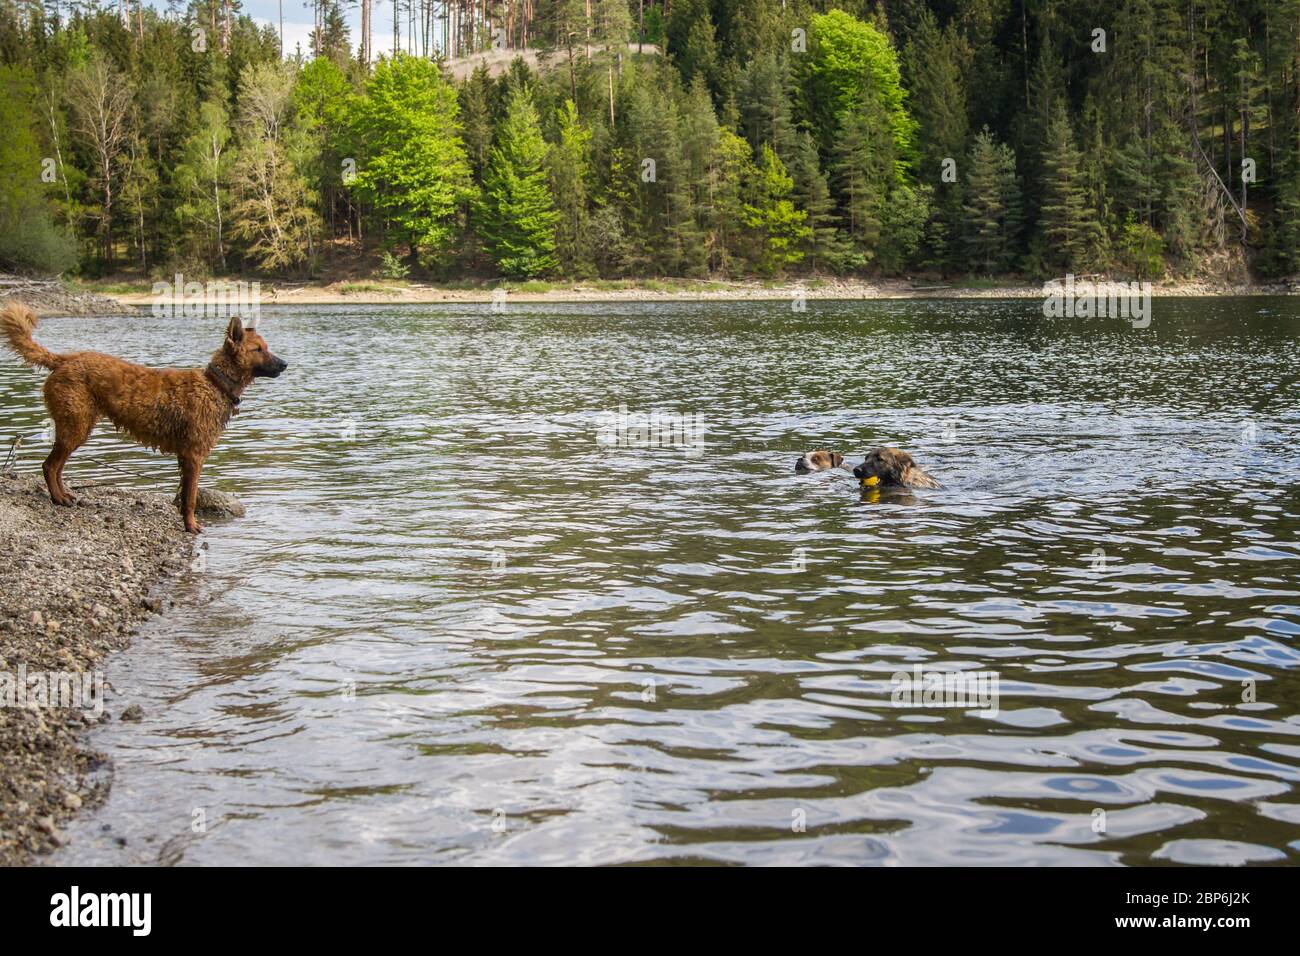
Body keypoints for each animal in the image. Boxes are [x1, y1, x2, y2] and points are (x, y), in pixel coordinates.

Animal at [2, 300, 287, 530]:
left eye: (266, 347)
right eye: (258, 349)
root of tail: (63, 359)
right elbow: (191, 498)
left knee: (57, 467)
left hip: (76, 427)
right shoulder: (194, 456)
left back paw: (65, 496)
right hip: (76, 426)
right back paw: (58, 498)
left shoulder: (185, 458)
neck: (215, 384)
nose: (285, 364)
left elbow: (184, 495)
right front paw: (192, 527)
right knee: (50, 465)